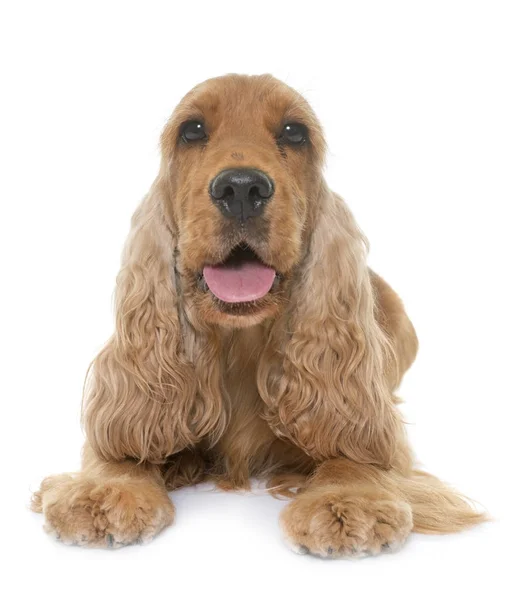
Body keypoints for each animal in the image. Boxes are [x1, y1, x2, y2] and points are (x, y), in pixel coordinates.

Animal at [32, 75, 484, 556]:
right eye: (191, 130)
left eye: (294, 132)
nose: (242, 189)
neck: (241, 342)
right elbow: (116, 449)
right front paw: (106, 490)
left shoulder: (375, 424)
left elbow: (356, 453)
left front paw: (347, 501)